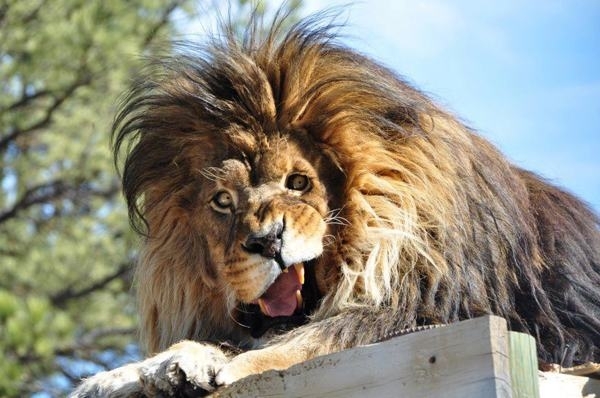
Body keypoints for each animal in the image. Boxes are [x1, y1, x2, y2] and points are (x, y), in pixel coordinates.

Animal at [74, 10, 600, 396]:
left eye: (298, 181)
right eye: (222, 201)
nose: (268, 241)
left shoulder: (427, 313)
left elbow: (309, 342)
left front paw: (209, 364)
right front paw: (121, 376)